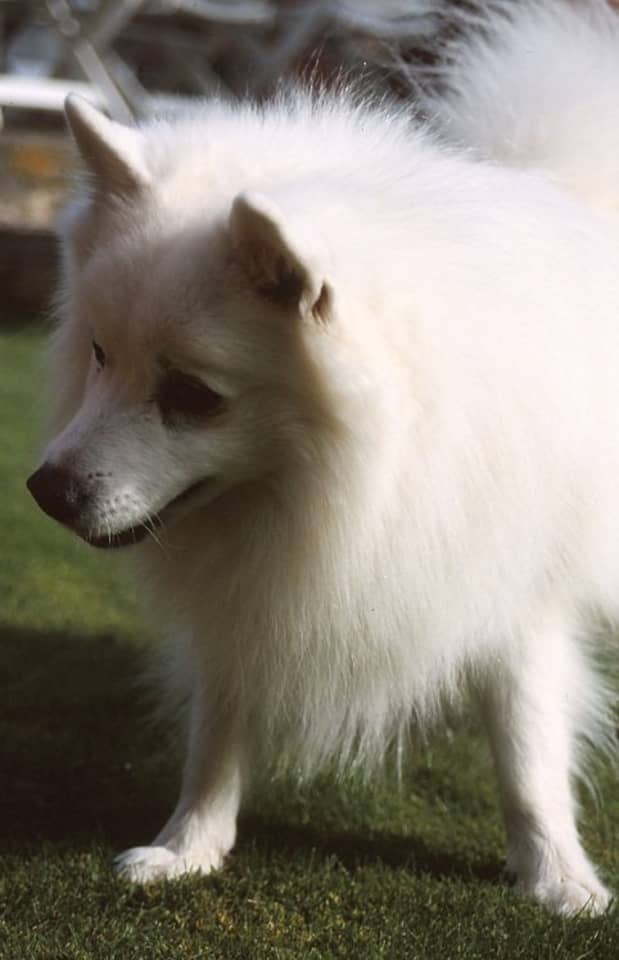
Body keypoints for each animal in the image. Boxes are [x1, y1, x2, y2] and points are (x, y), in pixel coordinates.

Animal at [26, 1, 619, 916]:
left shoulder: (512, 583)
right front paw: (189, 846)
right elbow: (218, 728)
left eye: (193, 395)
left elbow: (527, 746)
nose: (45, 490)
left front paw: (555, 877)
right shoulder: (251, 593)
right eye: (98, 355)